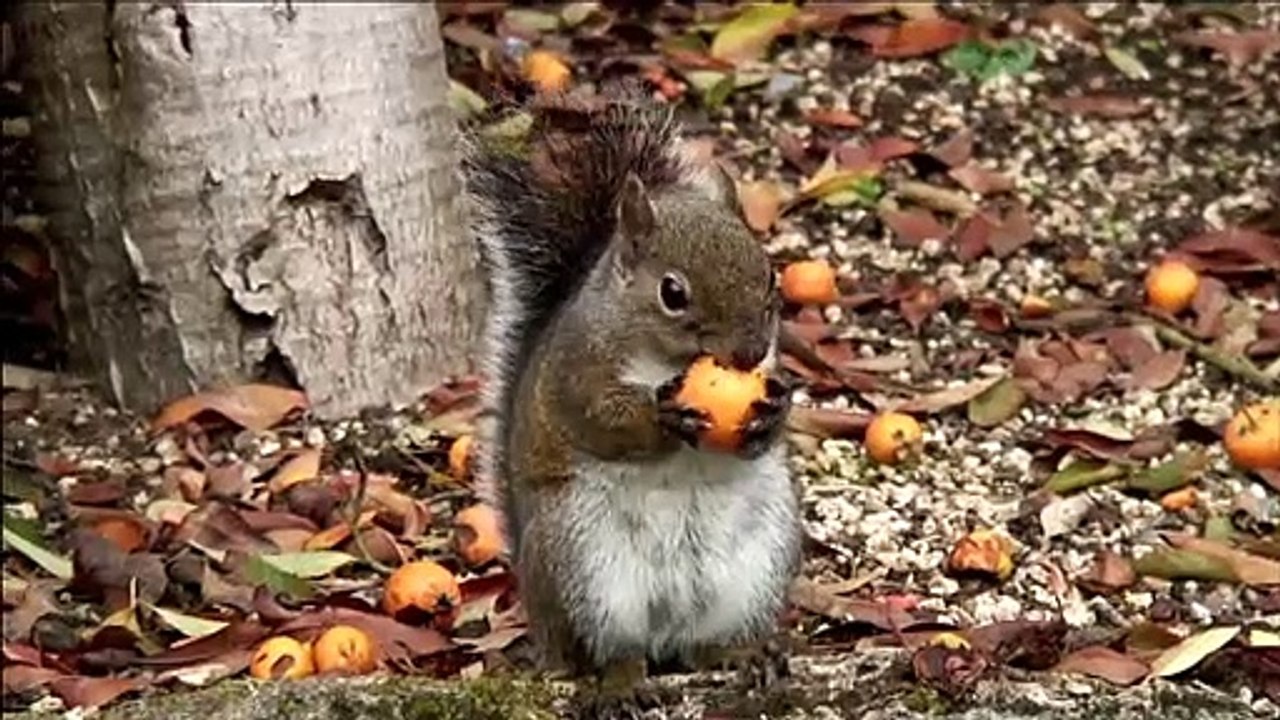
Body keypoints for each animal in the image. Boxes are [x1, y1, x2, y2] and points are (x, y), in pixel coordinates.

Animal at [460, 83, 802, 716]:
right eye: (673, 292)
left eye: (770, 276)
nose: (747, 354)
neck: (666, 360)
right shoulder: (577, 370)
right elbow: (602, 420)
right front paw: (664, 416)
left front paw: (772, 413)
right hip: (585, 568)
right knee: (611, 651)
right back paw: (621, 684)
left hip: (757, 564)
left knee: (704, 649)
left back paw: (743, 655)